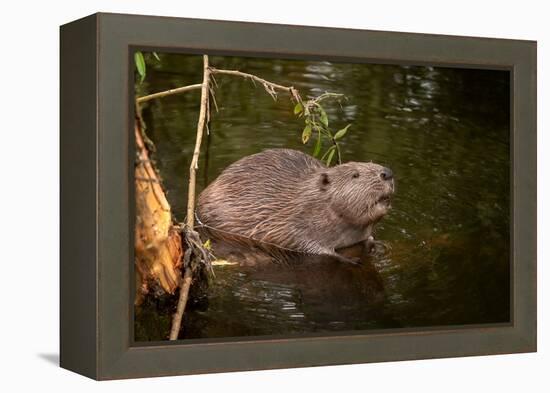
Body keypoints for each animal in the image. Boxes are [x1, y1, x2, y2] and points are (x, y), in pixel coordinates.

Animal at [196, 148, 394, 264]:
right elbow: (307, 246)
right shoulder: (291, 222)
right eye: (355, 175)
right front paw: (347, 259)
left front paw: (374, 244)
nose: (387, 173)